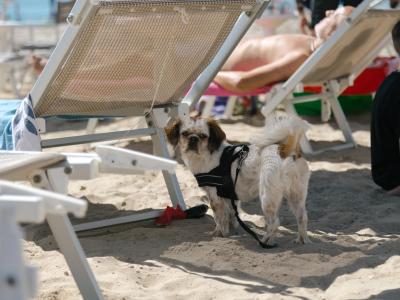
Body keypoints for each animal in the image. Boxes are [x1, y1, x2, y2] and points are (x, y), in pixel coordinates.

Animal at [164, 113, 310, 245]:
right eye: (184, 133)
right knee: (302, 217)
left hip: (267, 197)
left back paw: (265, 241)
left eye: (203, 136)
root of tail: (286, 151)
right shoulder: (229, 196)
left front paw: (219, 233)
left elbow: (219, 217)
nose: (193, 138)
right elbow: (231, 215)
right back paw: (301, 240)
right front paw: (232, 230)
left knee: (274, 224)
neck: (206, 156)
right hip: (296, 196)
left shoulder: (215, 196)